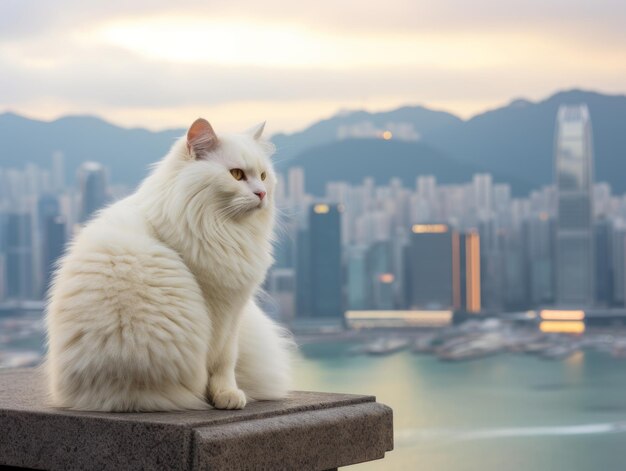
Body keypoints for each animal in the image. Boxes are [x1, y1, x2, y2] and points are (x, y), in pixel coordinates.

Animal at [45, 119, 294, 412]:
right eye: (236, 174)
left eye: (264, 176)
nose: (262, 193)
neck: (224, 229)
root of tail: (121, 397)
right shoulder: (219, 308)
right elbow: (221, 362)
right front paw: (224, 396)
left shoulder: (234, 312)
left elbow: (226, 362)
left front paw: (227, 394)